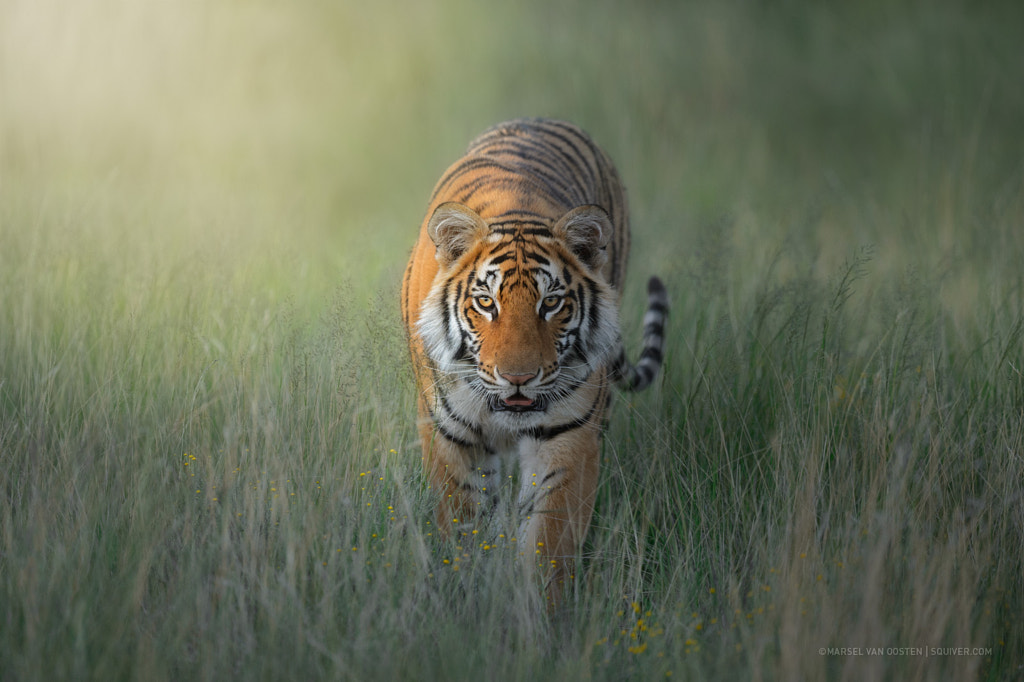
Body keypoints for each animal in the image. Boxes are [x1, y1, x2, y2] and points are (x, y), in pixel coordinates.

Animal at [403, 116, 667, 602]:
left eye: (552, 304)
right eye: (486, 303)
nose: (518, 378)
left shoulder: (568, 435)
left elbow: (549, 543)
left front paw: (540, 615)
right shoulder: (449, 435)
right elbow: (461, 528)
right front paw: (463, 596)